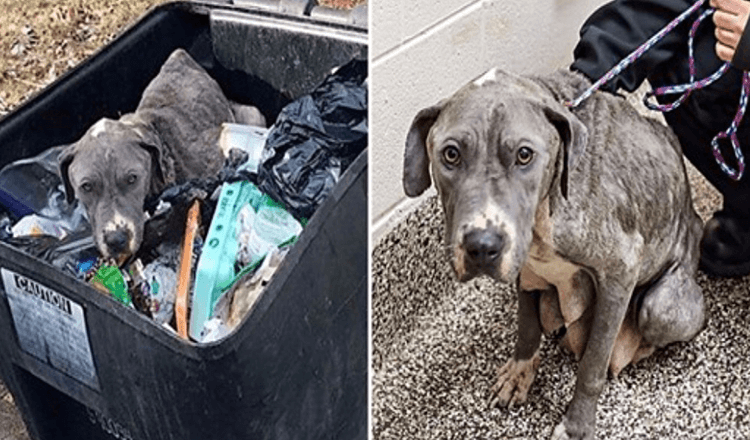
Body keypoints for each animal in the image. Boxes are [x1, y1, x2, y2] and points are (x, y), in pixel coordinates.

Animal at [402, 67, 708, 438]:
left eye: (524, 155)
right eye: (450, 154)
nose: (482, 247)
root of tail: (694, 221)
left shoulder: (619, 272)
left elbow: (592, 365)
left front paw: (577, 425)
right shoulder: (525, 271)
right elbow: (527, 325)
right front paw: (519, 374)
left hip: (661, 309)